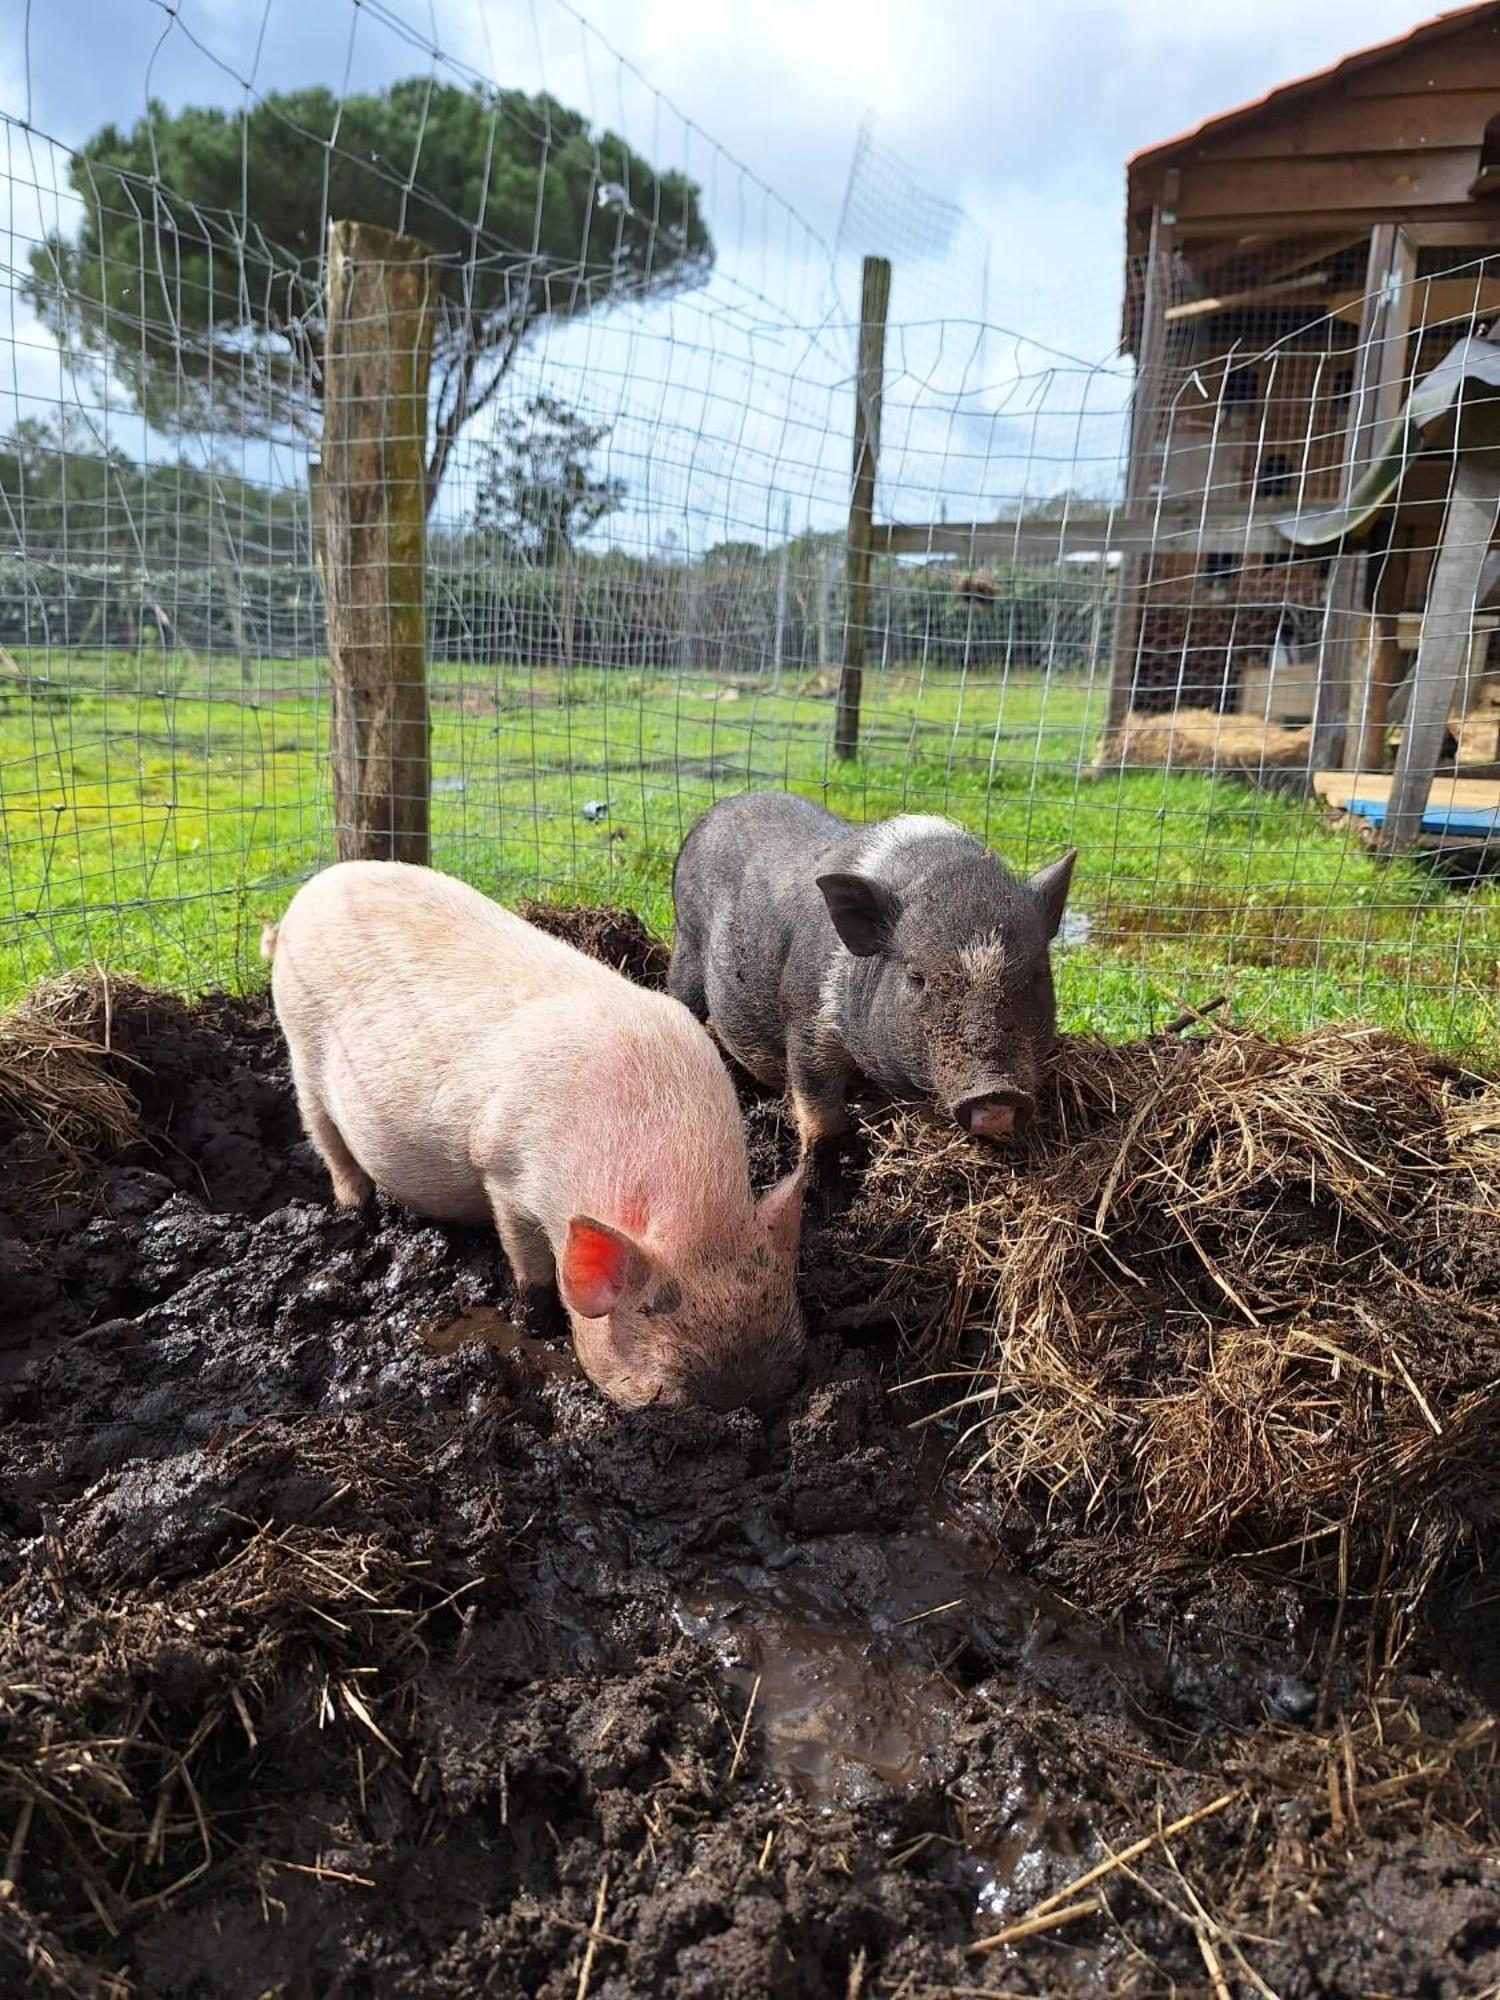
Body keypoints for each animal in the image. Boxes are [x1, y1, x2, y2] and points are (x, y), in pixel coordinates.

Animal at [270, 860, 812, 1408]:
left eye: (790, 1379)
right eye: (666, 1399)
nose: (743, 1403)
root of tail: (311, 893)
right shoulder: (502, 1168)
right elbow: (527, 1262)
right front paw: (536, 1326)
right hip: (300, 1042)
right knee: (322, 1131)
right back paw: (356, 1208)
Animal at [672, 788, 1080, 1152]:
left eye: (1037, 977)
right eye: (917, 977)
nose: (998, 1093)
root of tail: (708, 815)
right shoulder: (806, 1020)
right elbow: (819, 1114)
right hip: (687, 943)